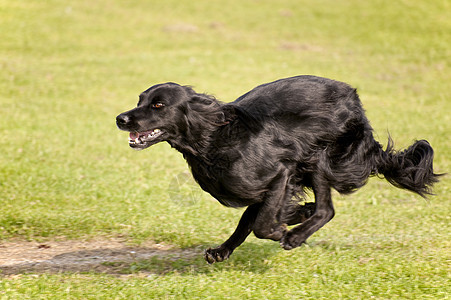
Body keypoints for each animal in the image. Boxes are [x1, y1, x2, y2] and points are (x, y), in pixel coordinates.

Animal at [116, 76, 442, 264]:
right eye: (140, 100)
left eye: (158, 105)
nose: (120, 118)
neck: (214, 137)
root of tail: (355, 101)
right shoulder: (267, 187)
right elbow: (249, 220)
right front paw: (223, 249)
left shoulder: (282, 171)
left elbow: (261, 224)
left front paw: (283, 229)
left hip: (319, 156)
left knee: (327, 209)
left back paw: (296, 236)